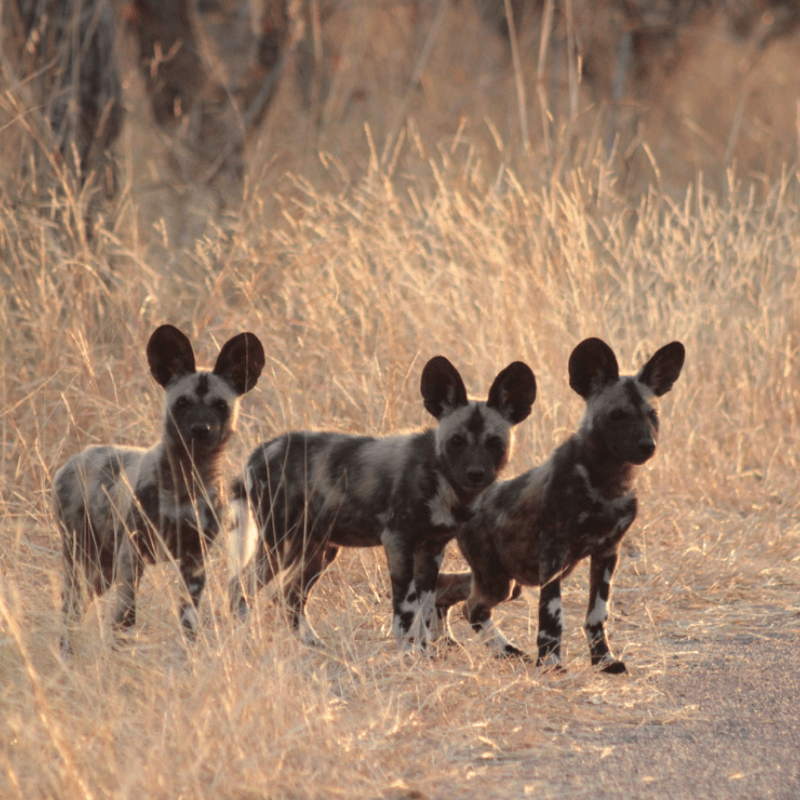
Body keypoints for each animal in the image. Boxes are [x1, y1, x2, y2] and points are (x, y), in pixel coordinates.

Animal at [54, 322, 266, 652]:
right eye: (182, 403)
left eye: (220, 406)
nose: (200, 430)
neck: (188, 481)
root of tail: (76, 458)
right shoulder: (133, 554)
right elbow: (125, 618)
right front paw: (121, 654)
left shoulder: (194, 560)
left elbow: (189, 620)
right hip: (85, 556)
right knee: (71, 605)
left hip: (104, 569)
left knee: (80, 602)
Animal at [227, 356, 536, 648]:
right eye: (457, 441)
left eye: (495, 443)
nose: (476, 473)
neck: (440, 478)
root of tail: (258, 452)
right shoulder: (398, 542)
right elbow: (406, 609)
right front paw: (411, 651)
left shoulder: (431, 549)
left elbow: (426, 605)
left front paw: (426, 651)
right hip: (282, 544)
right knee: (239, 587)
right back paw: (243, 641)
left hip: (318, 549)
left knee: (288, 596)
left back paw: (312, 644)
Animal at [434, 340, 684, 672]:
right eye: (617, 415)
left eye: (652, 414)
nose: (648, 446)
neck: (607, 483)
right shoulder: (553, 554)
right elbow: (552, 616)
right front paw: (551, 664)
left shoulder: (608, 553)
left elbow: (598, 614)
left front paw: (604, 660)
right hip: (498, 579)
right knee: (472, 608)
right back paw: (503, 651)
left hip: (508, 581)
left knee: (448, 592)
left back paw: (445, 643)